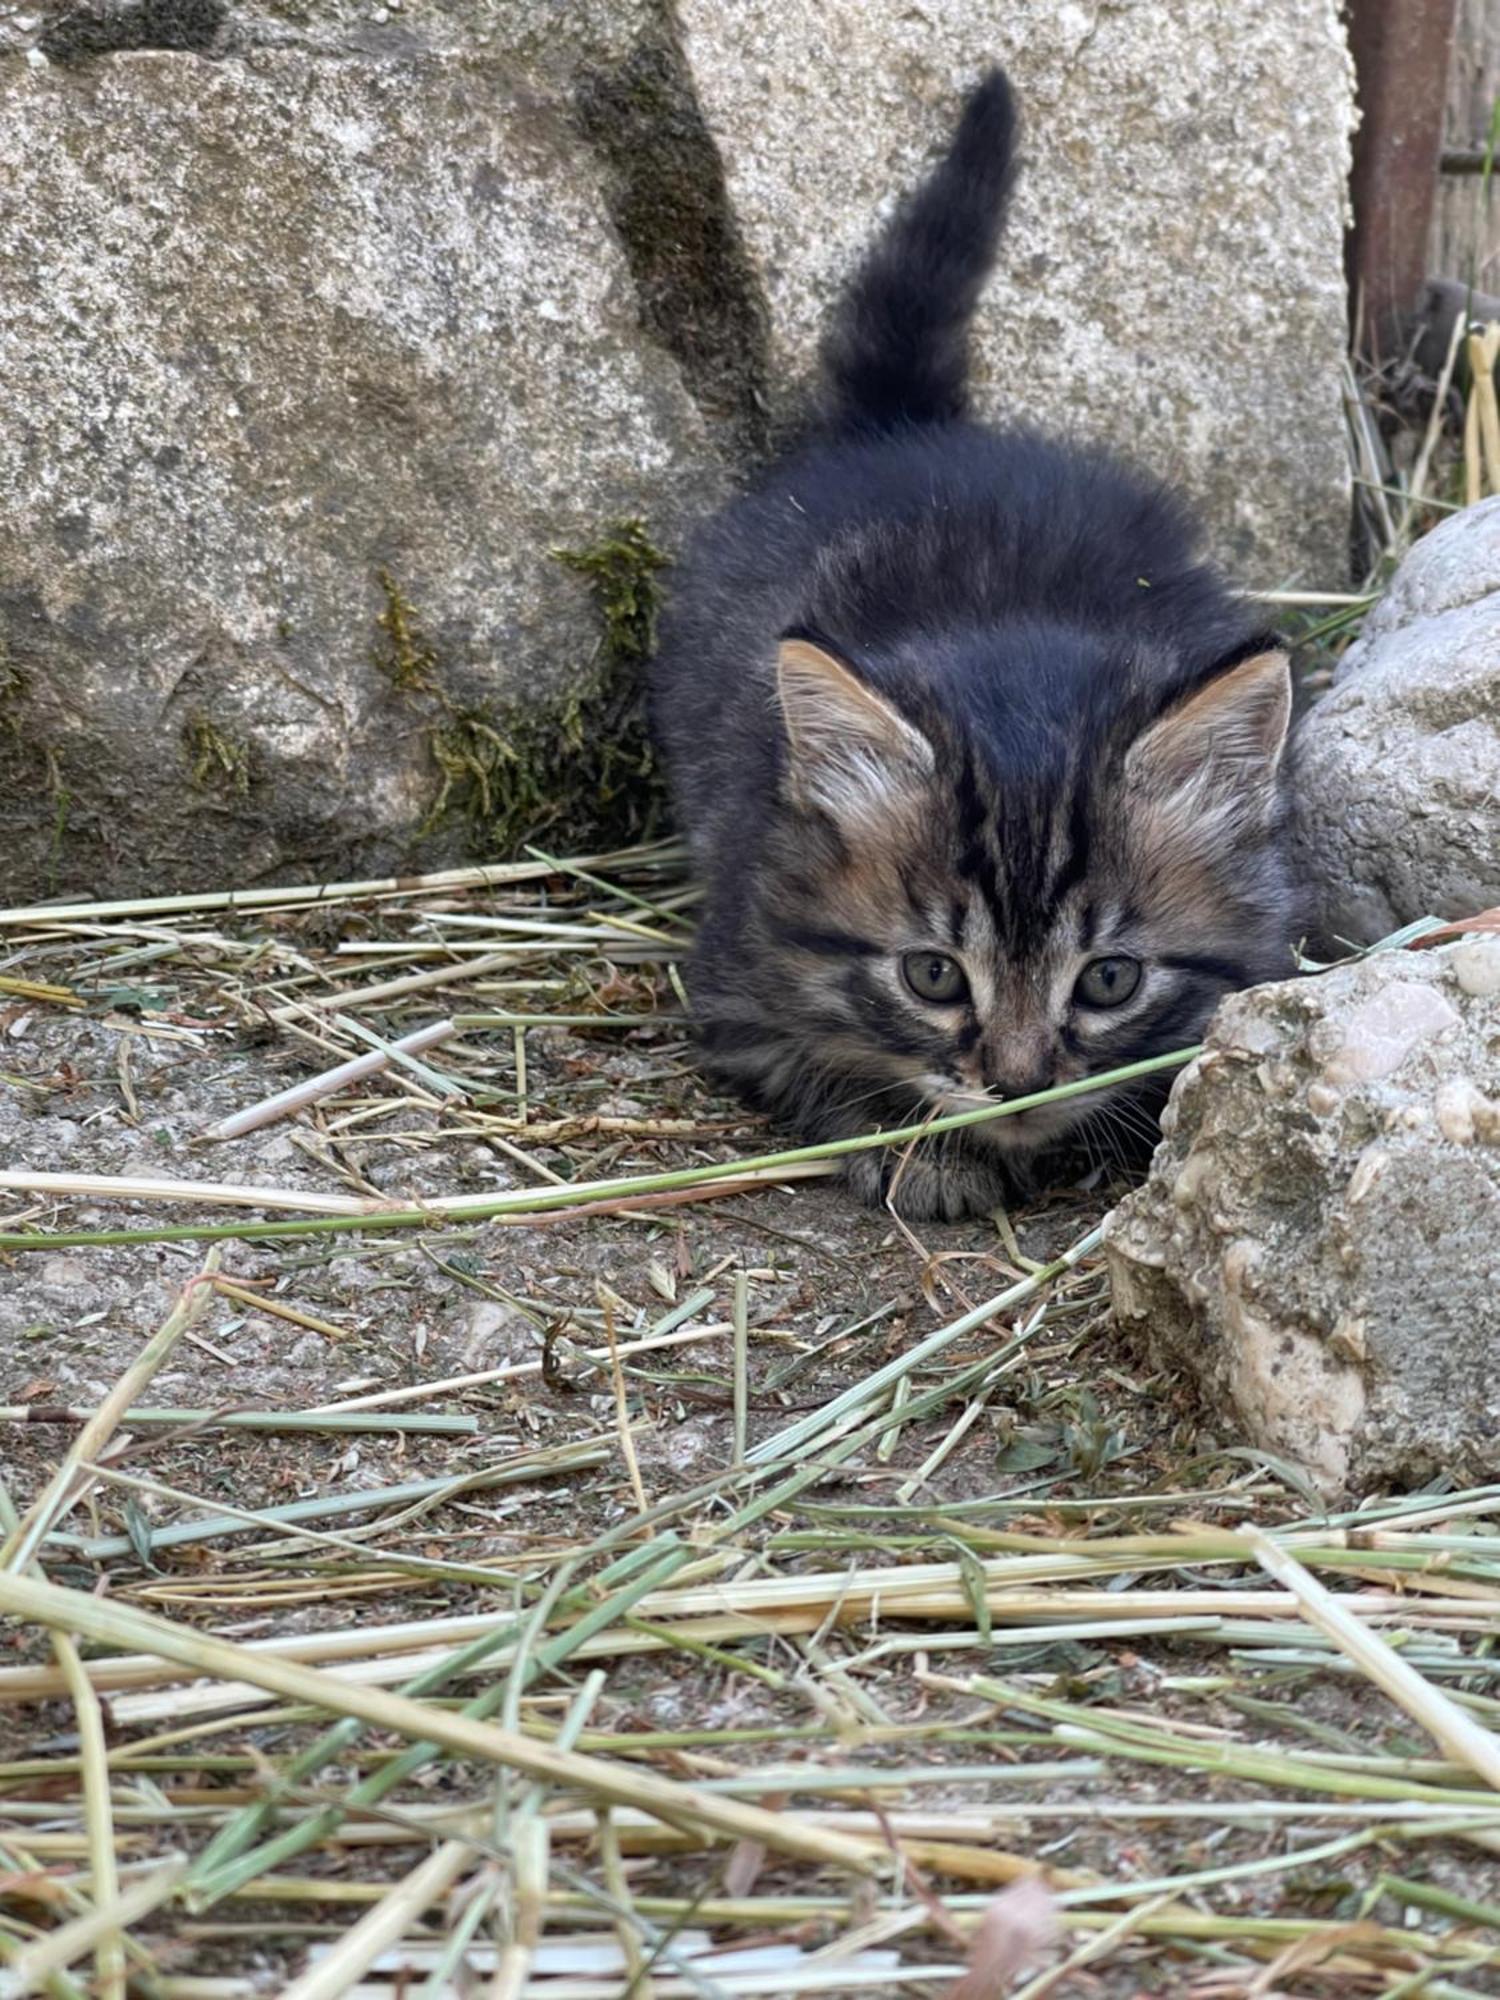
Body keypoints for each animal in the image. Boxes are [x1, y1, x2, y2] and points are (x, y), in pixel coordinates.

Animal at [648, 66, 1304, 1216]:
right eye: (933, 975)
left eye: (1110, 980)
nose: (1018, 1082)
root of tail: (909, 430)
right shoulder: (734, 972)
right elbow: (815, 1057)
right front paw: (927, 1153)